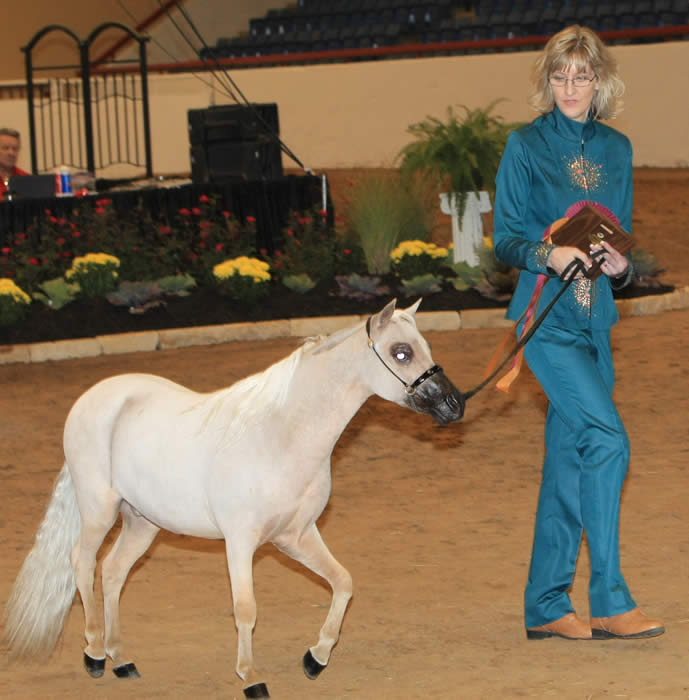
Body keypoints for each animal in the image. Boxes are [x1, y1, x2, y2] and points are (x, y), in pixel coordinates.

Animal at [4, 298, 462, 696]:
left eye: (424, 346)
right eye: (401, 352)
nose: (454, 404)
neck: (280, 435)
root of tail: (93, 398)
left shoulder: (297, 536)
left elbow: (343, 583)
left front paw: (315, 658)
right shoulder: (240, 542)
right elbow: (246, 609)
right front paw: (251, 678)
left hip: (141, 521)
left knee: (113, 571)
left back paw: (122, 660)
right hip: (99, 509)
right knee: (82, 564)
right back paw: (95, 655)